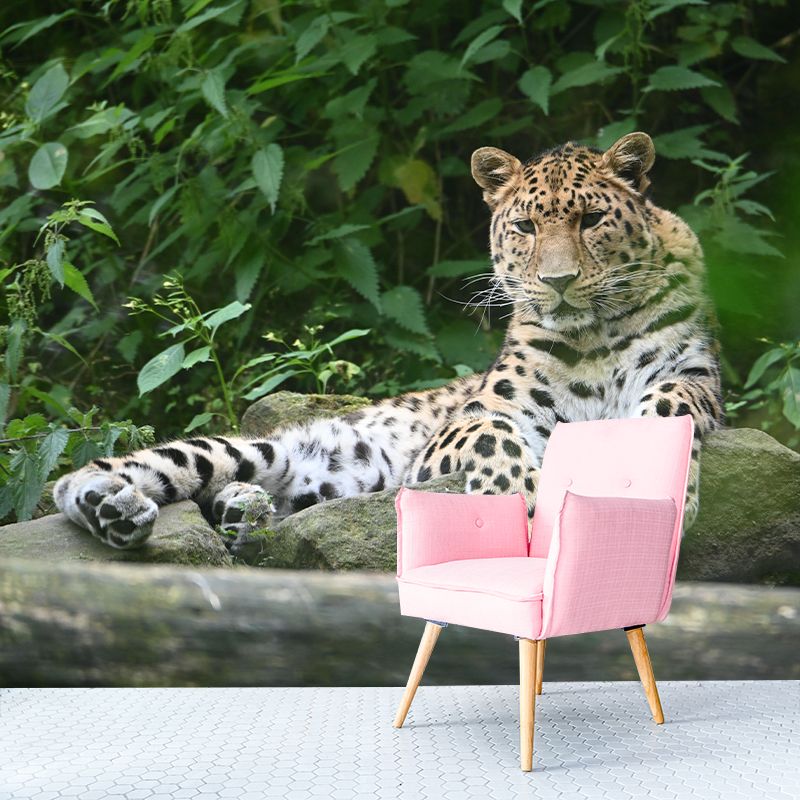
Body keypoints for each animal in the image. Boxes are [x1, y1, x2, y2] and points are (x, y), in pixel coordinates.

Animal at [54, 132, 723, 550]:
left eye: (591, 220)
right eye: (526, 226)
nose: (557, 283)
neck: (592, 337)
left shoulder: (696, 376)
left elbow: (668, 407)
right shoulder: (467, 421)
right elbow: (492, 433)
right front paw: (514, 498)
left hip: (316, 488)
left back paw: (240, 511)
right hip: (249, 449)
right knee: (100, 474)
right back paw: (116, 508)